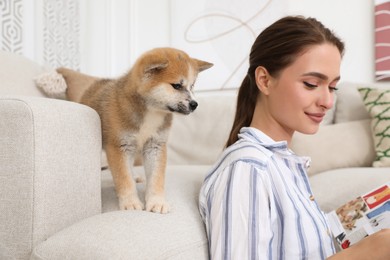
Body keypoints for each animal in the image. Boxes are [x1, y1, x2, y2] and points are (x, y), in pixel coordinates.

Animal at [55, 47, 213, 213]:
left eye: (192, 86)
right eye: (176, 85)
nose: (195, 104)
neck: (151, 112)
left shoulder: (155, 145)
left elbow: (156, 178)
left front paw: (156, 201)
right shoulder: (118, 147)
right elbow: (124, 179)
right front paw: (130, 202)